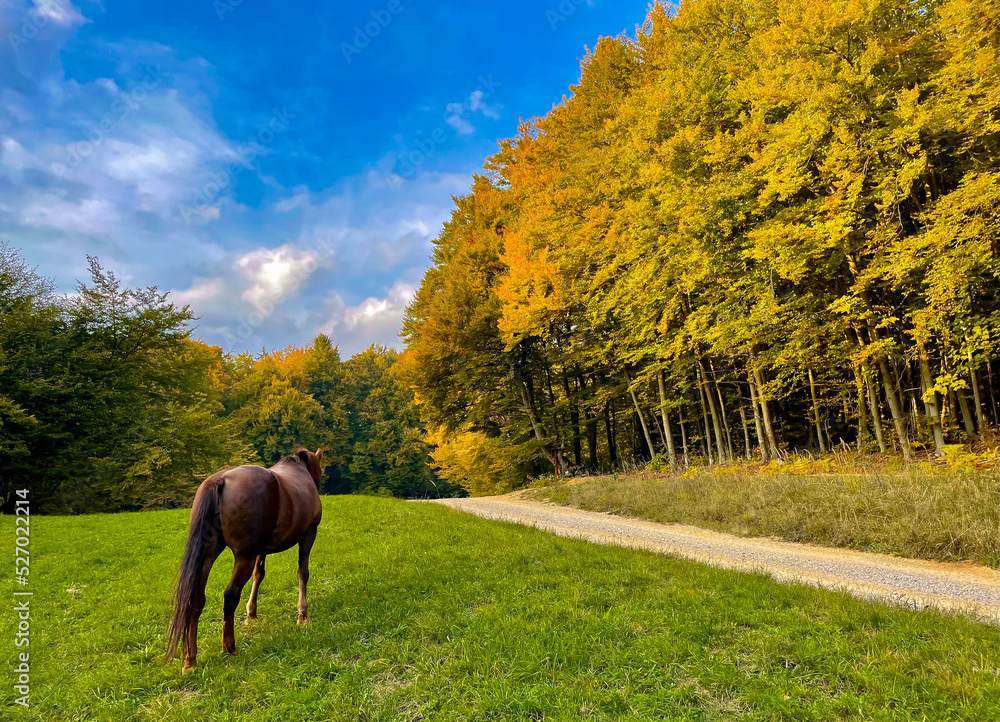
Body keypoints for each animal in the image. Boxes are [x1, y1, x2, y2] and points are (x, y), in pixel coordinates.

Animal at [163, 448, 320, 672]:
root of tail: (220, 480)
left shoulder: (261, 550)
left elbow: (259, 575)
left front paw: (251, 615)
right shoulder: (308, 534)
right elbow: (302, 573)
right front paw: (302, 615)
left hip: (209, 555)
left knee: (197, 599)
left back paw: (190, 659)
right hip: (244, 556)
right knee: (230, 595)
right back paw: (228, 646)